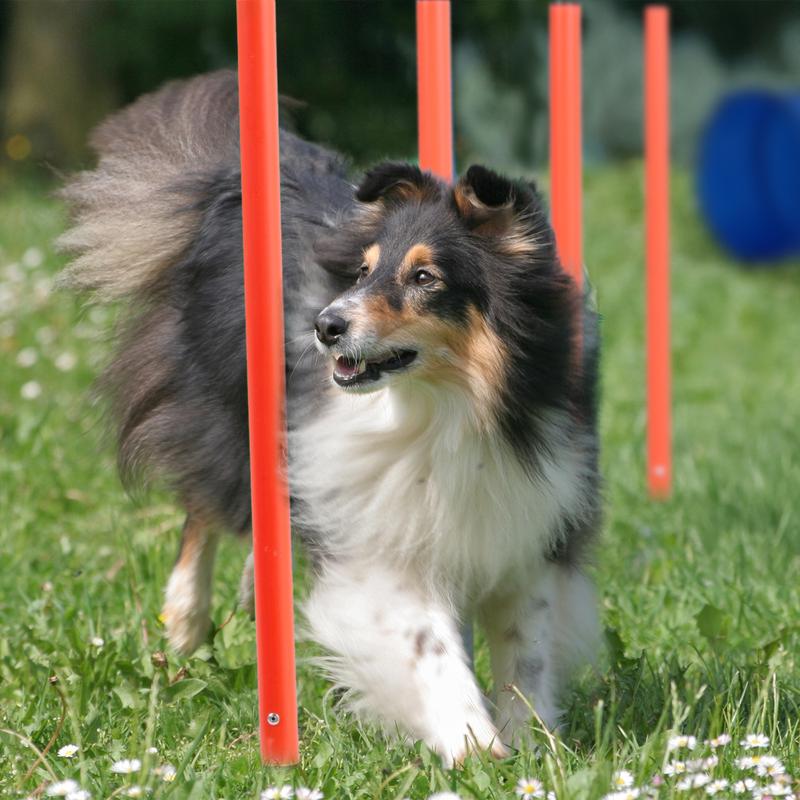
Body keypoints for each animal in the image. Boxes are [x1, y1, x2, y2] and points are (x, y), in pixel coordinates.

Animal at [59, 70, 601, 764]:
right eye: (364, 271)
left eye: (425, 277)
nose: (325, 325)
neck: (446, 408)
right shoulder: (380, 539)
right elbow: (428, 642)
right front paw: (472, 742)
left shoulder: (530, 522)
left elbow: (526, 653)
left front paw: (531, 744)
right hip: (229, 415)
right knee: (205, 505)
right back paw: (184, 620)